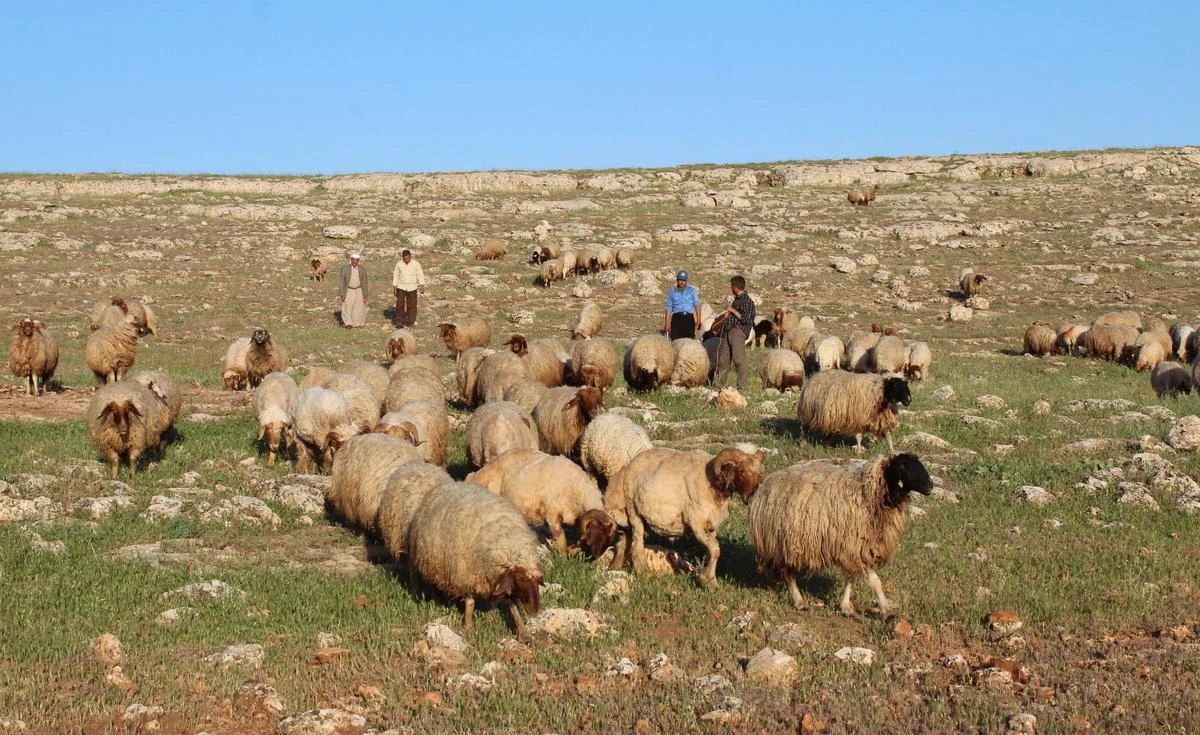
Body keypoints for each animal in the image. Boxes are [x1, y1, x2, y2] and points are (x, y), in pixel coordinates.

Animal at [410, 485, 547, 634]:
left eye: (537, 582)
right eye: (521, 581)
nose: (535, 611)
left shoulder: (504, 580)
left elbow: (513, 605)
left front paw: (522, 631)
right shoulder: (467, 575)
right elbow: (470, 603)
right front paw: (468, 627)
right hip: (432, 564)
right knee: (433, 585)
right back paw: (437, 602)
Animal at [465, 446, 619, 557]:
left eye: (610, 538)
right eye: (599, 534)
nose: (596, 557)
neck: (575, 488)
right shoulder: (552, 515)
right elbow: (561, 538)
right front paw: (564, 556)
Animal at [604, 441, 763, 586]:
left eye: (760, 474)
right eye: (741, 472)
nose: (752, 496)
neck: (712, 484)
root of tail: (624, 470)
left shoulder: (711, 526)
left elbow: (712, 551)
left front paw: (708, 579)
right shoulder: (697, 523)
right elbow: (716, 550)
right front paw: (709, 581)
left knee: (624, 542)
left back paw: (614, 567)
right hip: (634, 511)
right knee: (636, 546)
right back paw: (645, 573)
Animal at [748, 453, 936, 614]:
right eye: (903, 466)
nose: (930, 485)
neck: (873, 492)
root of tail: (762, 490)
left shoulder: (853, 549)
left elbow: (851, 579)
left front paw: (845, 606)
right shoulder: (855, 545)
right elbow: (875, 582)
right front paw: (886, 610)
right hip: (782, 542)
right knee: (788, 574)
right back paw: (799, 602)